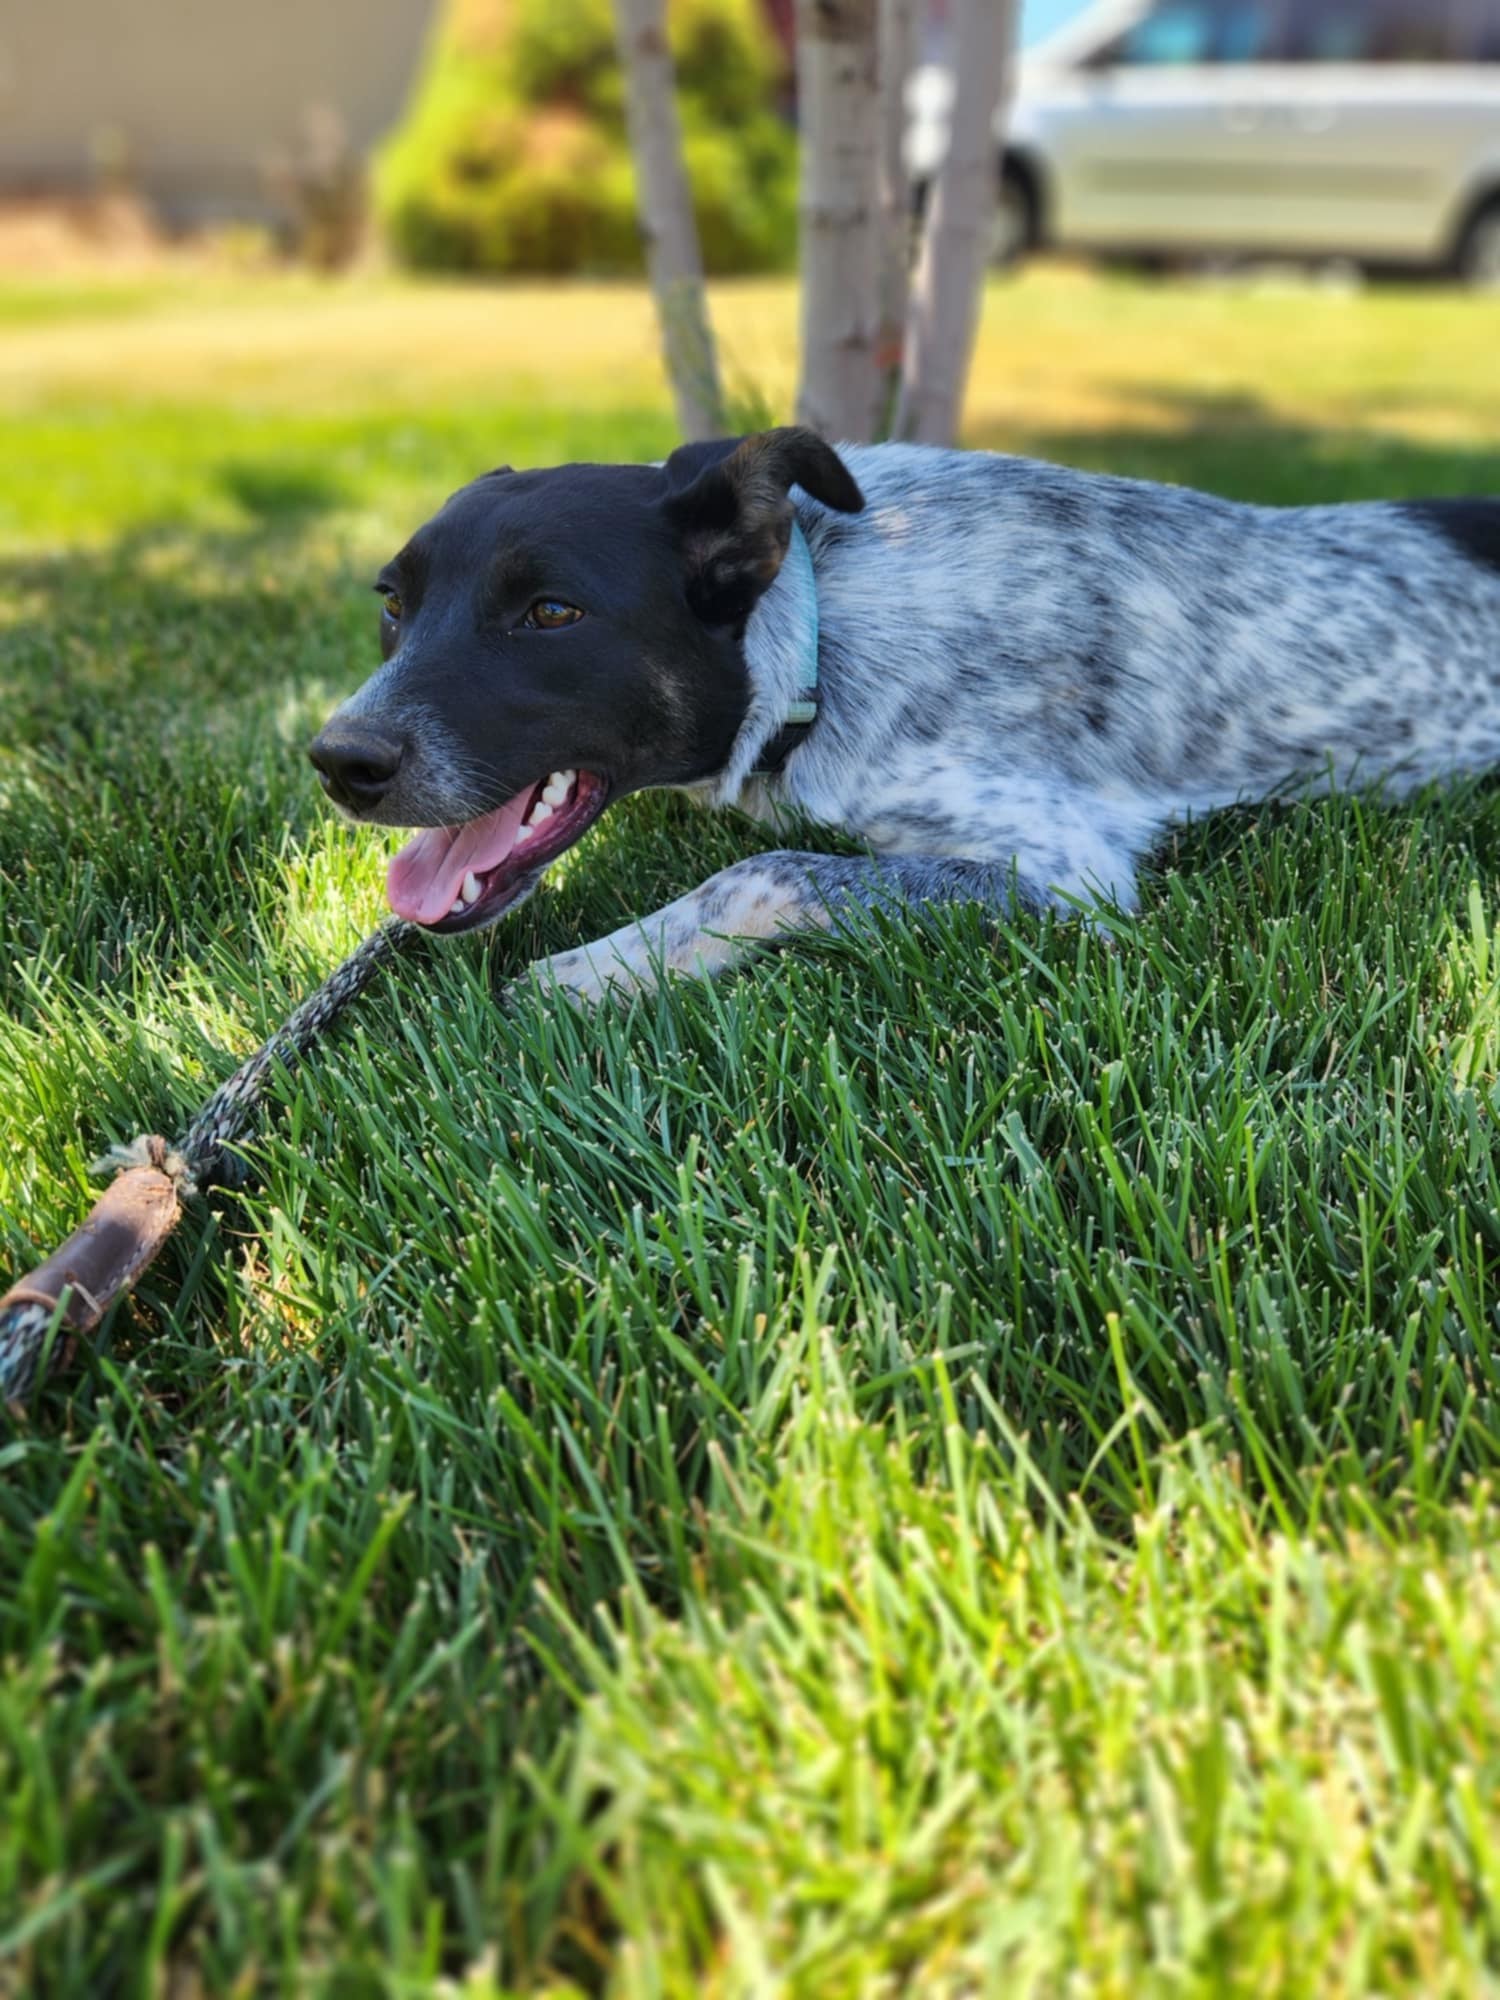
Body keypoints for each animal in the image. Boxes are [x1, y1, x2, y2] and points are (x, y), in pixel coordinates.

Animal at [308, 432, 1500, 1008]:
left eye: (551, 612)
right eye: (392, 601)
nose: (338, 761)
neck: (819, 636)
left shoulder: (1066, 871)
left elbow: (764, 870)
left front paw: (601, 969)